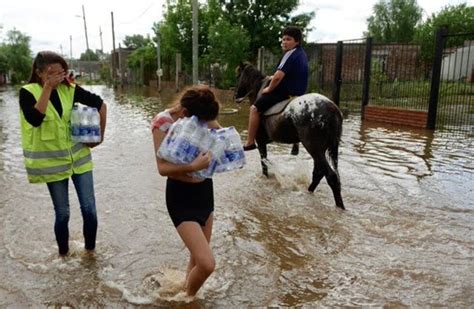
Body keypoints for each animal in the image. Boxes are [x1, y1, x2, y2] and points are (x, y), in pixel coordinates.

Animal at [234, 62, 342, 209]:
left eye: (239, 75)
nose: (236, 96)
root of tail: (332, 108)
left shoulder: (261, 142)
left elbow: (264, 166)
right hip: (321, 149)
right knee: (319, 173)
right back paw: (308, 192)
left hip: (314, 148)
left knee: (330, 176)